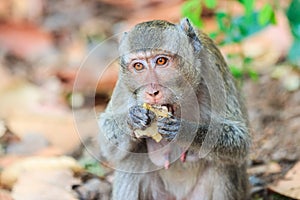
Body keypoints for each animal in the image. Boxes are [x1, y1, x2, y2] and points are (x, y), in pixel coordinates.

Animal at [98, 18, 251, 199]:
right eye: (138, 66)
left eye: (161, 61)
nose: (152, 92)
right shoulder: (124, 84)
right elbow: (110, 146)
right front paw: (133, 119)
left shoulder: (212, 69)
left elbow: (240, 142)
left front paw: (183, 130)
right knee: (132, 160)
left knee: (223, 165)